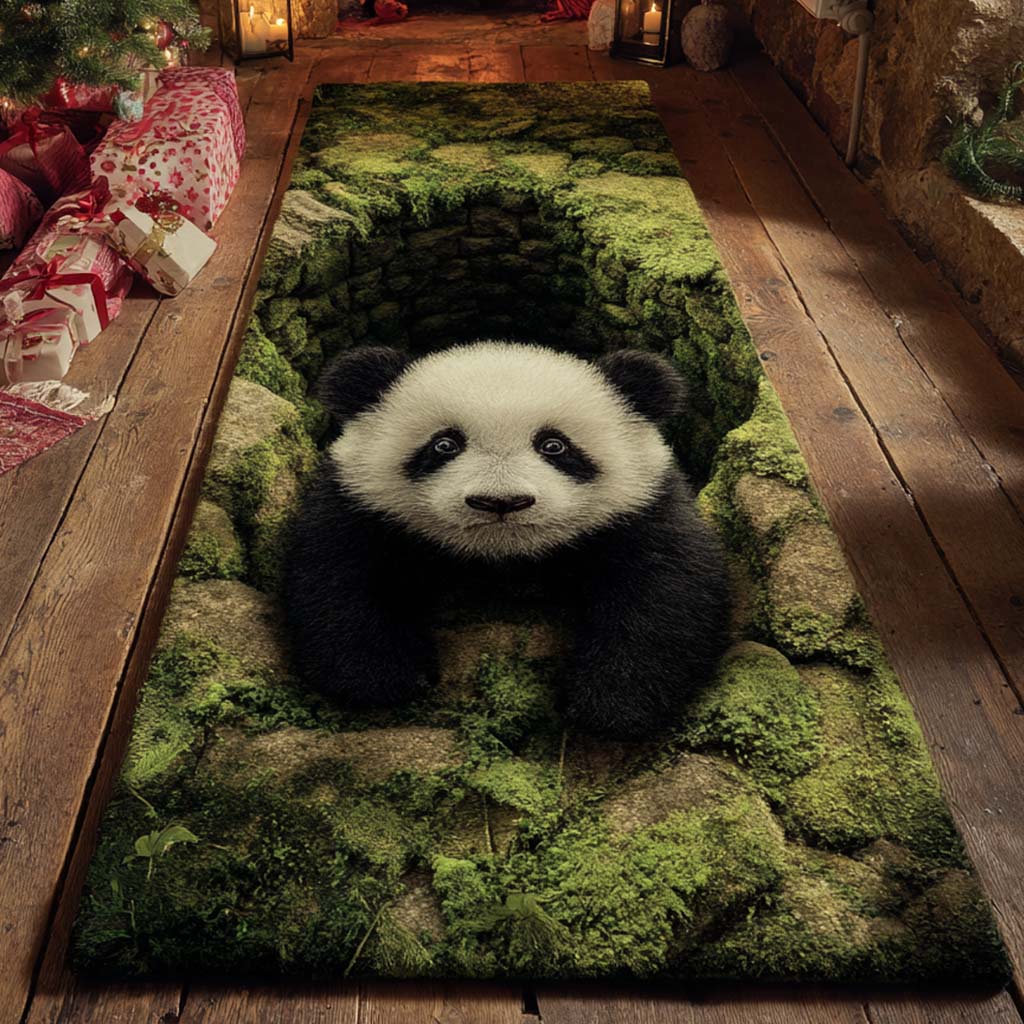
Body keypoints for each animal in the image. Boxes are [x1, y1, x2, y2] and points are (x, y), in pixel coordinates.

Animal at [284, 341, 732, 739]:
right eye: (444, 444)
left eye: (554, 445)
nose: (501, 501)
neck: (502, 557)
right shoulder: (361, 508)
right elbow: (338, 579)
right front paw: (382, 677)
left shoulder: (640, 513)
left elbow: (666, 592)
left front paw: (611, 704)